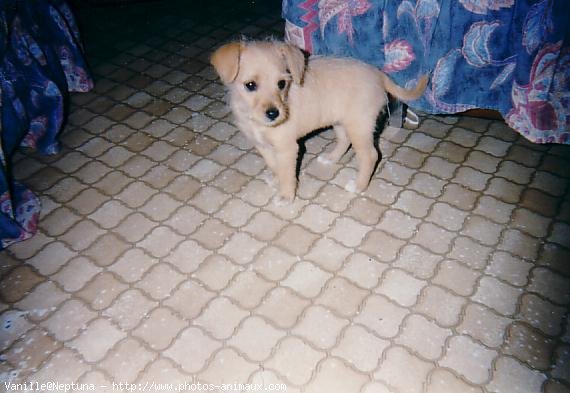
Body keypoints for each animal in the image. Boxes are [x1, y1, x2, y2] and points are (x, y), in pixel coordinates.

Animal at [211, 40, 424, 202]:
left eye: (281, 83)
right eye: (250, 85)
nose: (274, 114)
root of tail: (378, 74)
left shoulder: (287, 147)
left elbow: (287, 173)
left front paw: (286, 195)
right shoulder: (262, 145)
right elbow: (274, 165)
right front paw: (276, 179)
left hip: (360, 126)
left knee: (371, 155)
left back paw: (358, 186)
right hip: (340, 121)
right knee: (344, 141)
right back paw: (331, 158)